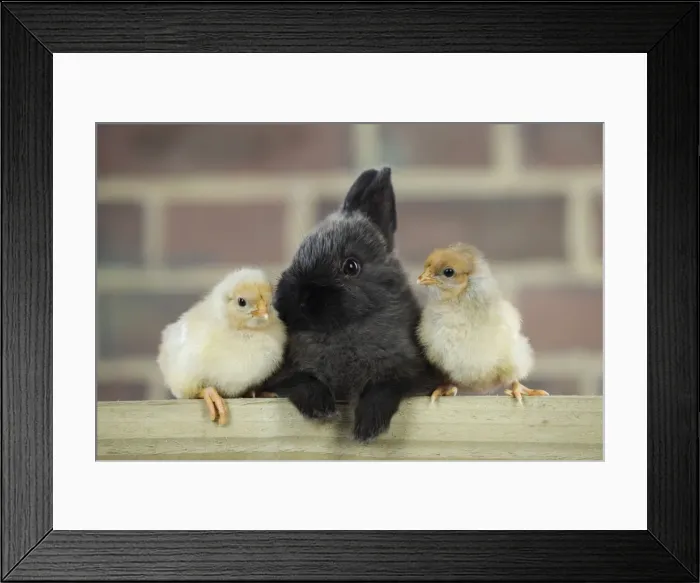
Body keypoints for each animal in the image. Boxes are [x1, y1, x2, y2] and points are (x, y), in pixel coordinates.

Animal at [253, 167, 449, 443]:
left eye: (351, 266)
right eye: (297, 254)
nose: (298, 299)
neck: (345, 329)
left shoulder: (411, 372)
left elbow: (385, 386)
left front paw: (367, 428)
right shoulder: (282, 376)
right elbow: (301, 380)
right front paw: (322, 408)